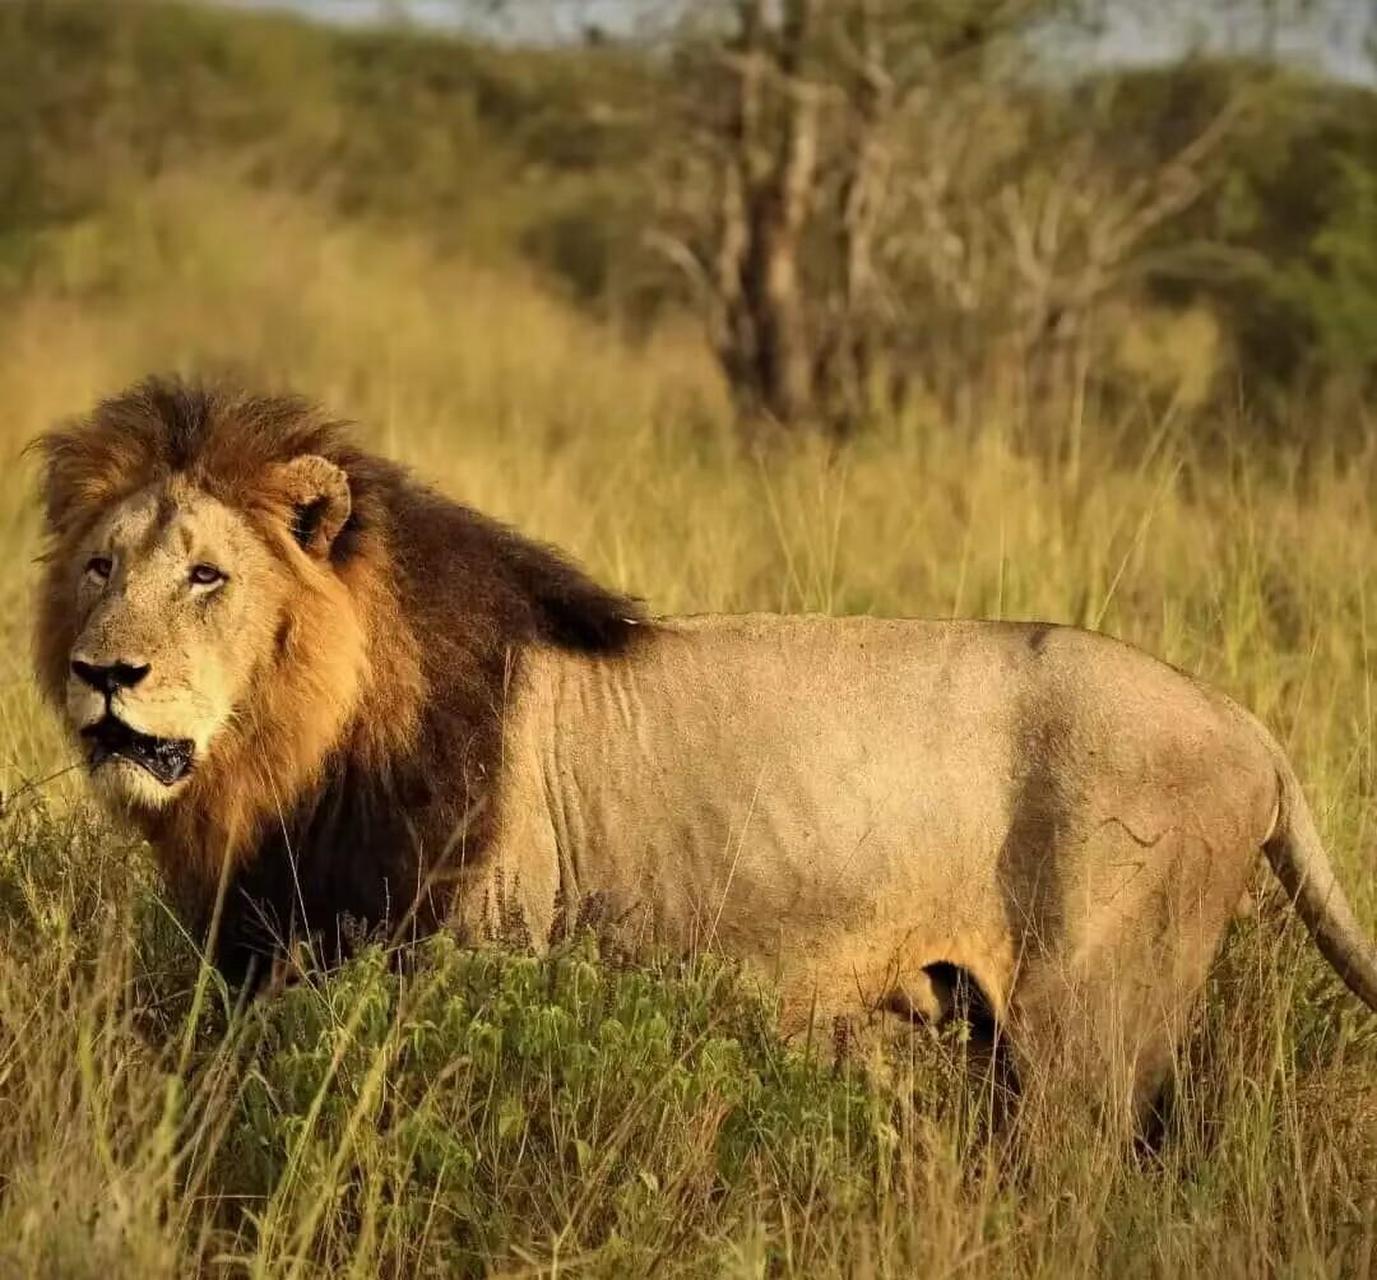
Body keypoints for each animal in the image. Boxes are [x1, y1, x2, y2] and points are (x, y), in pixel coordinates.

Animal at [32, 374, 1377, 1123]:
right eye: (100, 567)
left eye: (207, 575)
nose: (106, 674)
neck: (287, 765)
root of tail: (1255, 730)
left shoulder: (450, 955)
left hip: (1083, 1038)